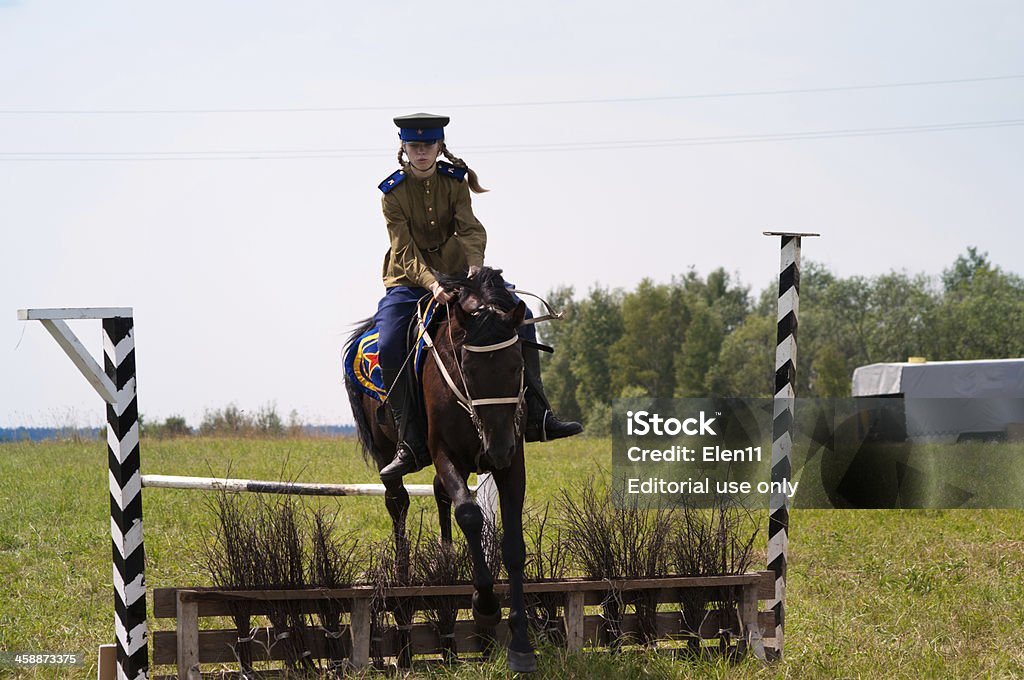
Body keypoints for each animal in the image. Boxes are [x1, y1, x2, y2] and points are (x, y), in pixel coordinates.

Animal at [344, 268, 536, 671]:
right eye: (468, 369)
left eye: (518, 365)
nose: (496, 449)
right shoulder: (446, 452)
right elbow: (469, 514)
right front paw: (485, 605)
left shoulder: (514, 462)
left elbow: (513, 545)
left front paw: (521, 645)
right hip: (388, 453)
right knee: (398, 500)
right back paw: (403, 573)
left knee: (438, 492)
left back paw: (447, 557)